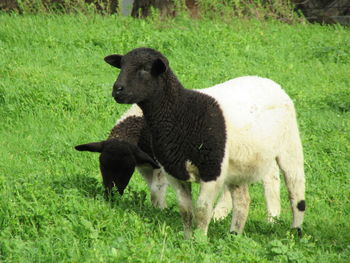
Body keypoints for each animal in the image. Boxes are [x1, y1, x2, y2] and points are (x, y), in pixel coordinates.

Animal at [104, 48, 306, 239]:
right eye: (121, 65)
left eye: (145, 69)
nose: (117, 90)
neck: (182, 113)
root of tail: (269, 82)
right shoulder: (174, 171)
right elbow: (185, 210)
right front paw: (187, 239)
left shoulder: (212, 170)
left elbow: (202, 209)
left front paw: (200, 240)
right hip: (248, 158)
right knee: (245, 198)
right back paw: (236, 235)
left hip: (289, 144)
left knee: (295, 187)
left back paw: (294, 229)